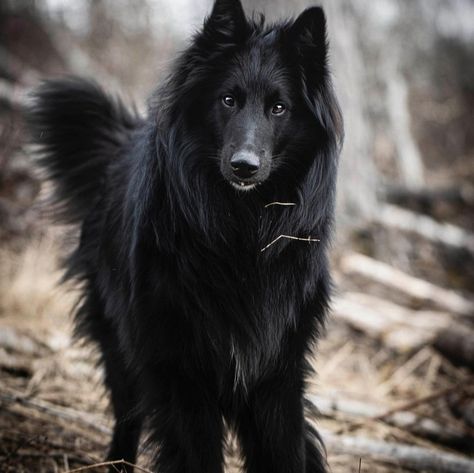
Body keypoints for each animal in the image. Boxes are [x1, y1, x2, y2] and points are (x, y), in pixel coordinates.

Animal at [28, 1, 340, 470]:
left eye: (279, 108)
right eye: (228, 100)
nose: (244, 166)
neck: (242, 228)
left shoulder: (278, 371)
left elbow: (285, 449)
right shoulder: (180, 371)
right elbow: (195, 453)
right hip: (120, 341)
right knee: (127, 414)